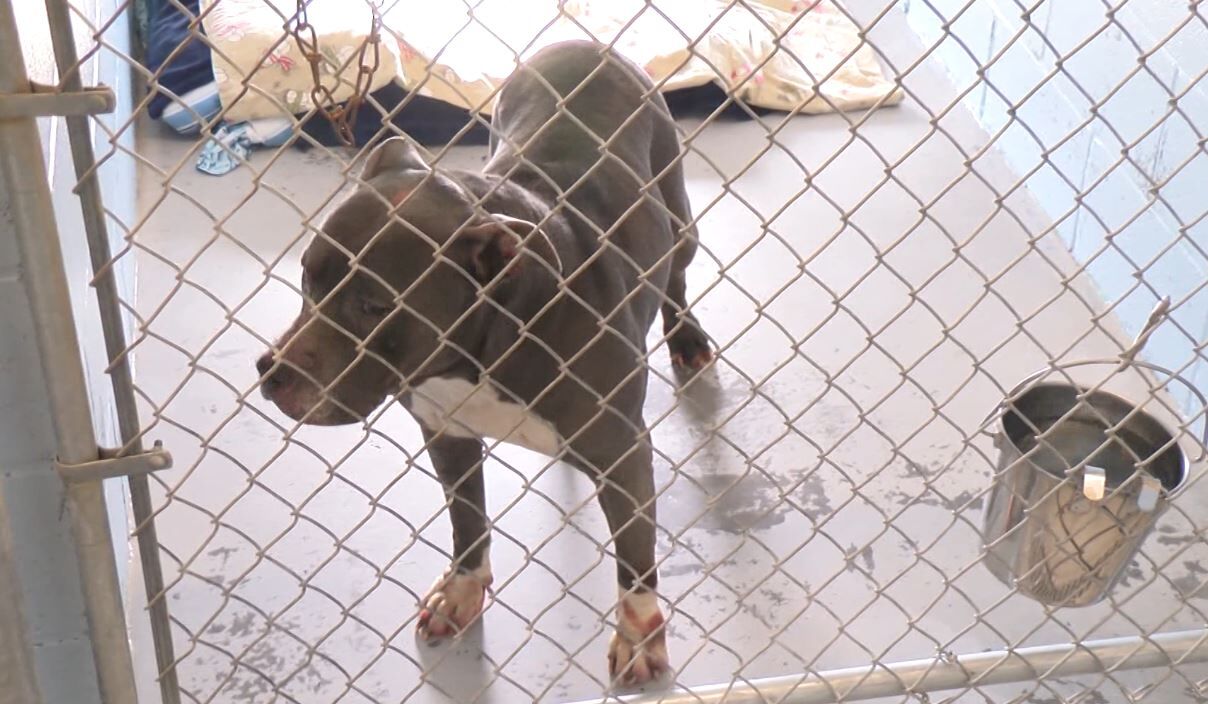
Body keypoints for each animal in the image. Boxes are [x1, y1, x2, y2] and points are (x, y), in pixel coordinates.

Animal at [254, 39, 705, 690]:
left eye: (374, 305)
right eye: (307, 277)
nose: (272, 372)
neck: (477, 351)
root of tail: (583, 42)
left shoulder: (621, 453)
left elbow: (635, 556)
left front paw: (640, 635)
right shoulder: (445, 431)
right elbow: (466, 519)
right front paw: (461, 593)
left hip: (678, 217)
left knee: (676, 273)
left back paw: (687, 335)